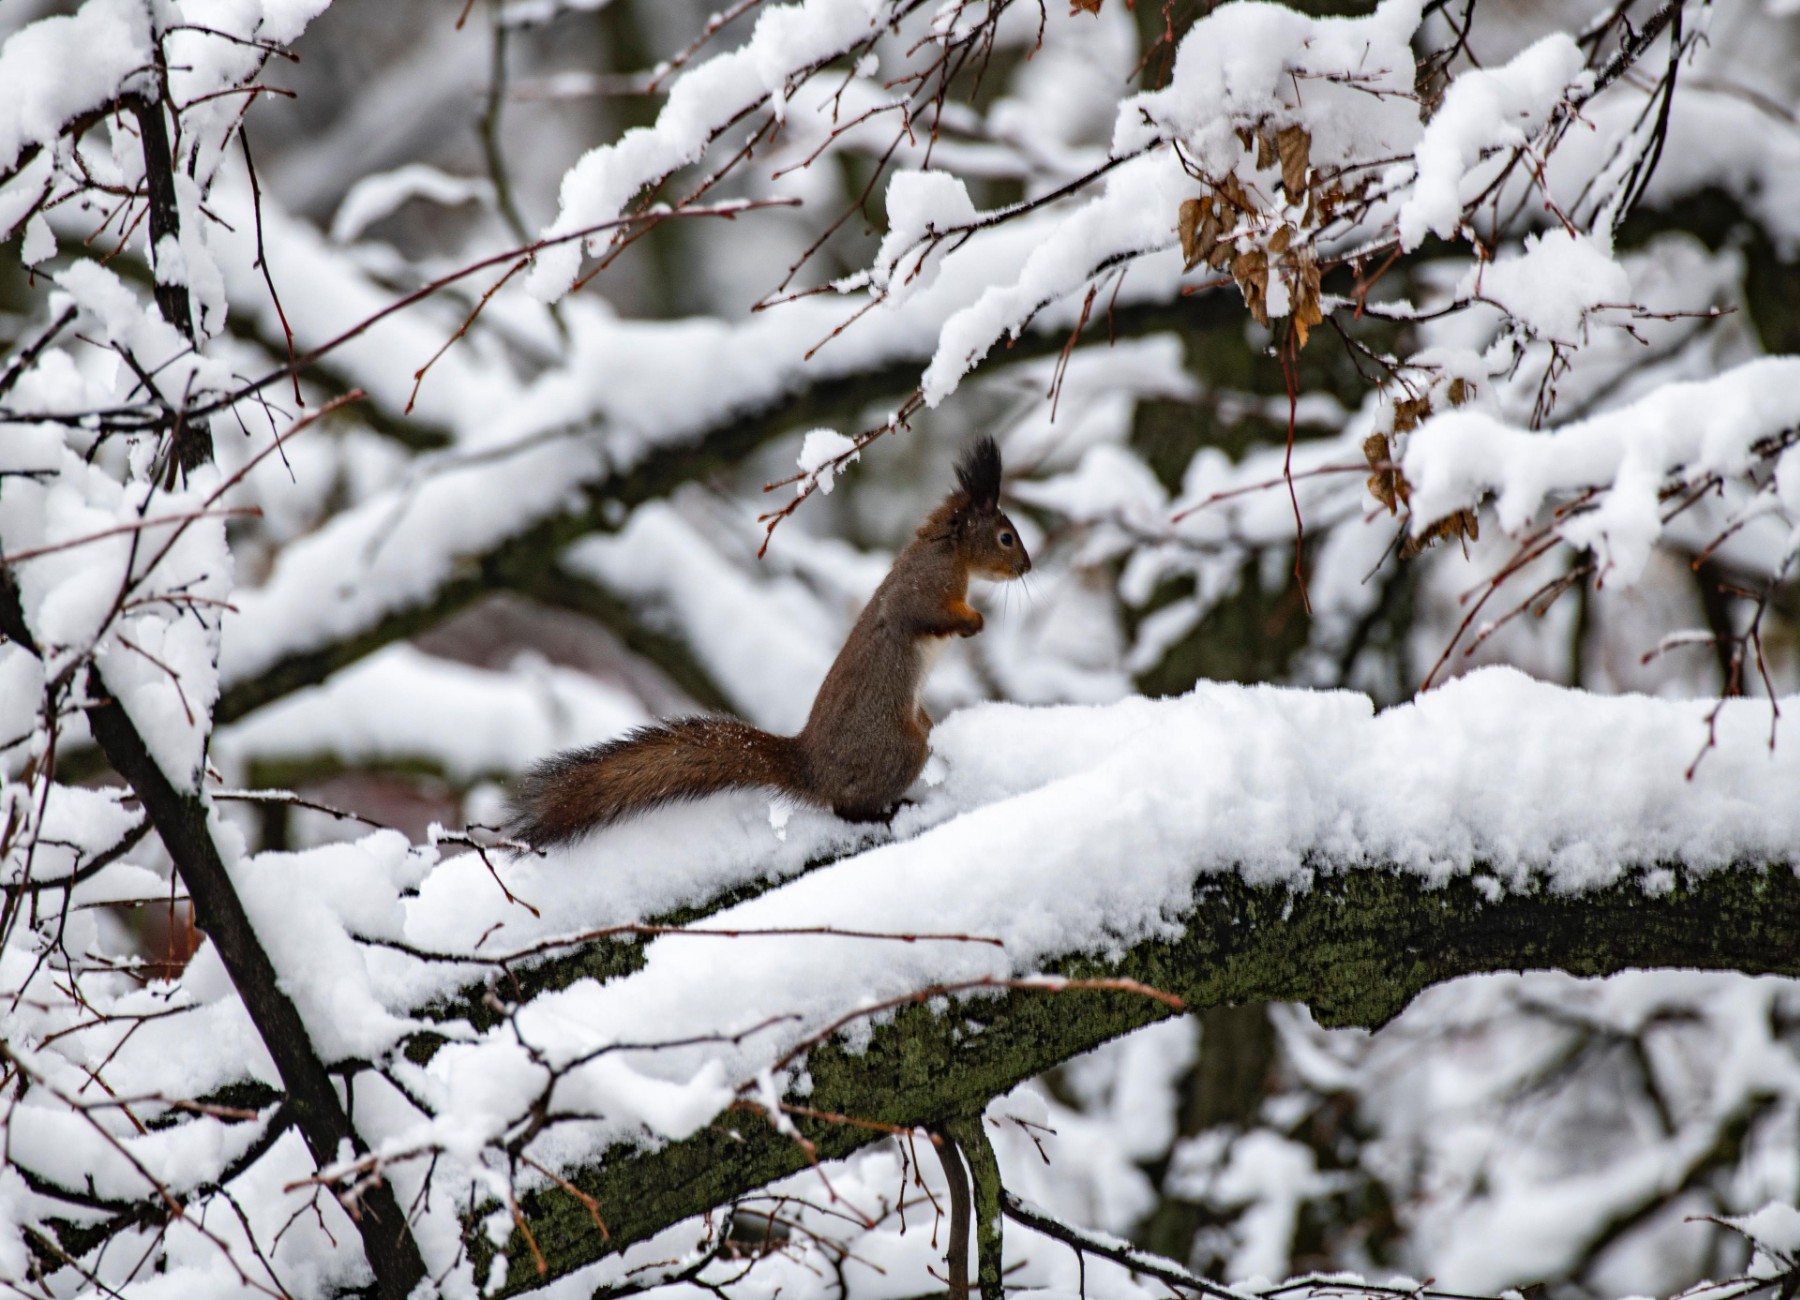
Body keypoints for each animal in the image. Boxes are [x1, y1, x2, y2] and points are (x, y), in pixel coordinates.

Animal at [507, 430, 1036, 846]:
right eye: (1006, 537)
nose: (1027, 567)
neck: (948, 550)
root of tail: (811, 767)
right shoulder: (923, 588)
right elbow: (925, 614)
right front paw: (973, 622)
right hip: (899, 746)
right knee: (849, 806)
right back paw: (887, 810)